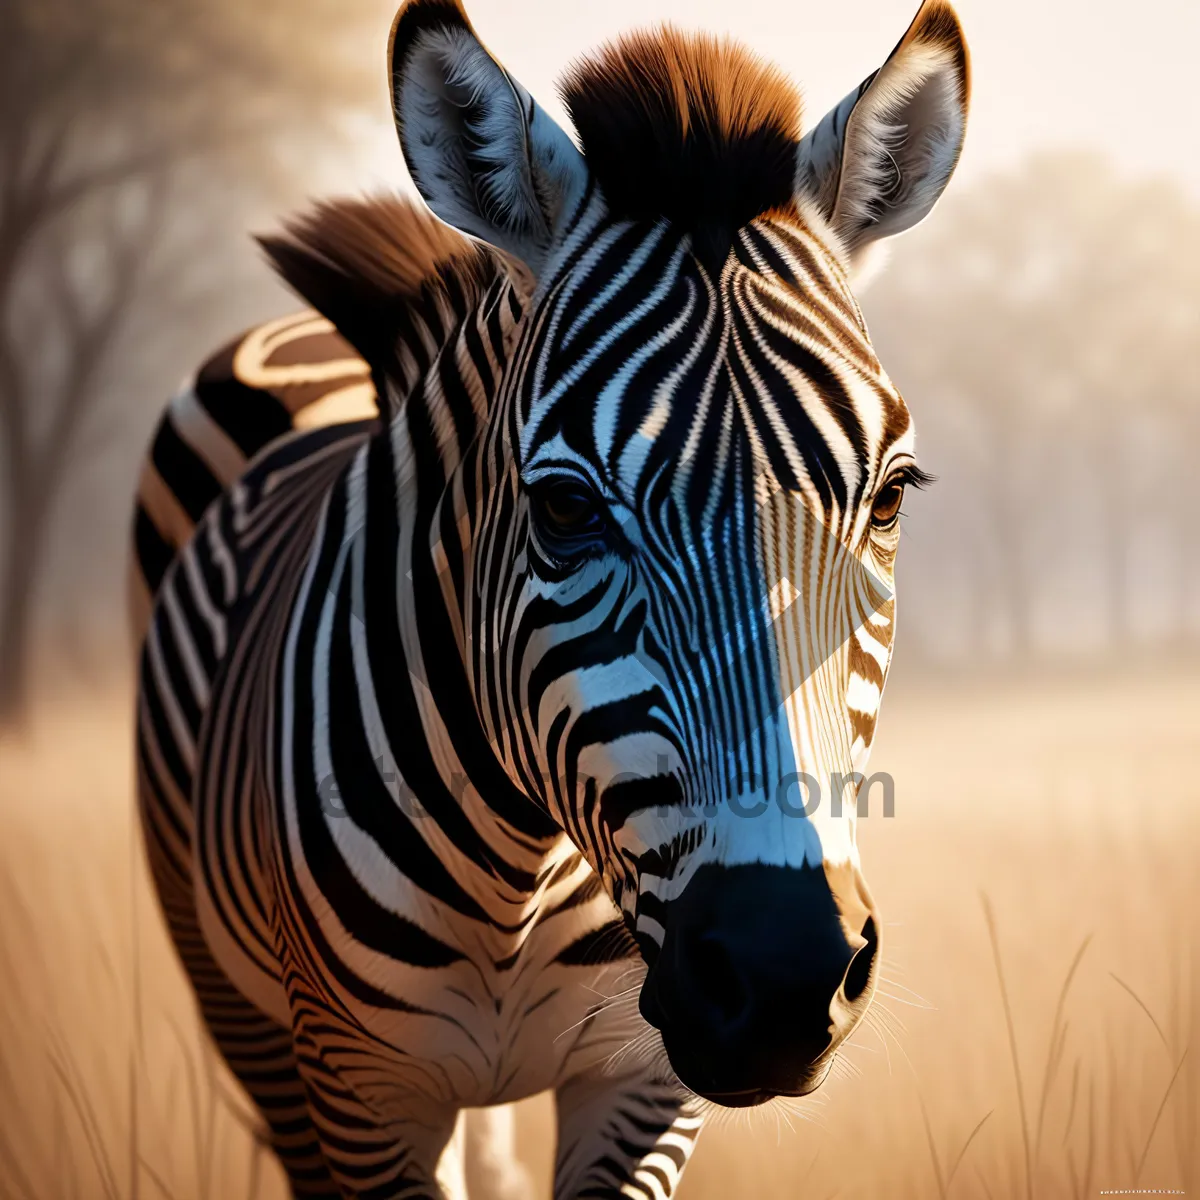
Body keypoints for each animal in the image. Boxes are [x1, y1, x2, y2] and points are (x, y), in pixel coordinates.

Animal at [136, 4, 969, 1195]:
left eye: (892, 495)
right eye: (567, 507)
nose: (783, 975)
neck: (516, 870)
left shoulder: (640, 1084)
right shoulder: (361, 1090)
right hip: (237, 1004)